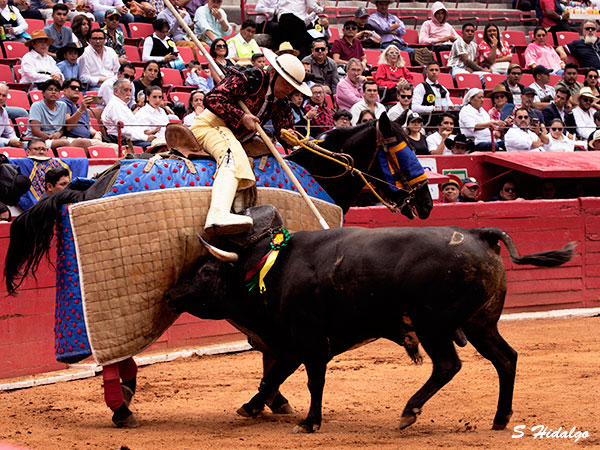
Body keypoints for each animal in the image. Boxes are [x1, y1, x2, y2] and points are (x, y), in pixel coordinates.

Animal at [163, 218, 572, 432]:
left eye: (205, 271)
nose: (168, 294)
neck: (274, 268)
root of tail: (478, 235)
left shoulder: (311, 340)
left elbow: (310, 381)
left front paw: (310, 422)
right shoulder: (295, 342)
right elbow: (272, 377)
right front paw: (251, 407)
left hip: (434, 325)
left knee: (448, 365)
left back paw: (409, 412)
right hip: (480, 324)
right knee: (506, 359)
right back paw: (501, 418)